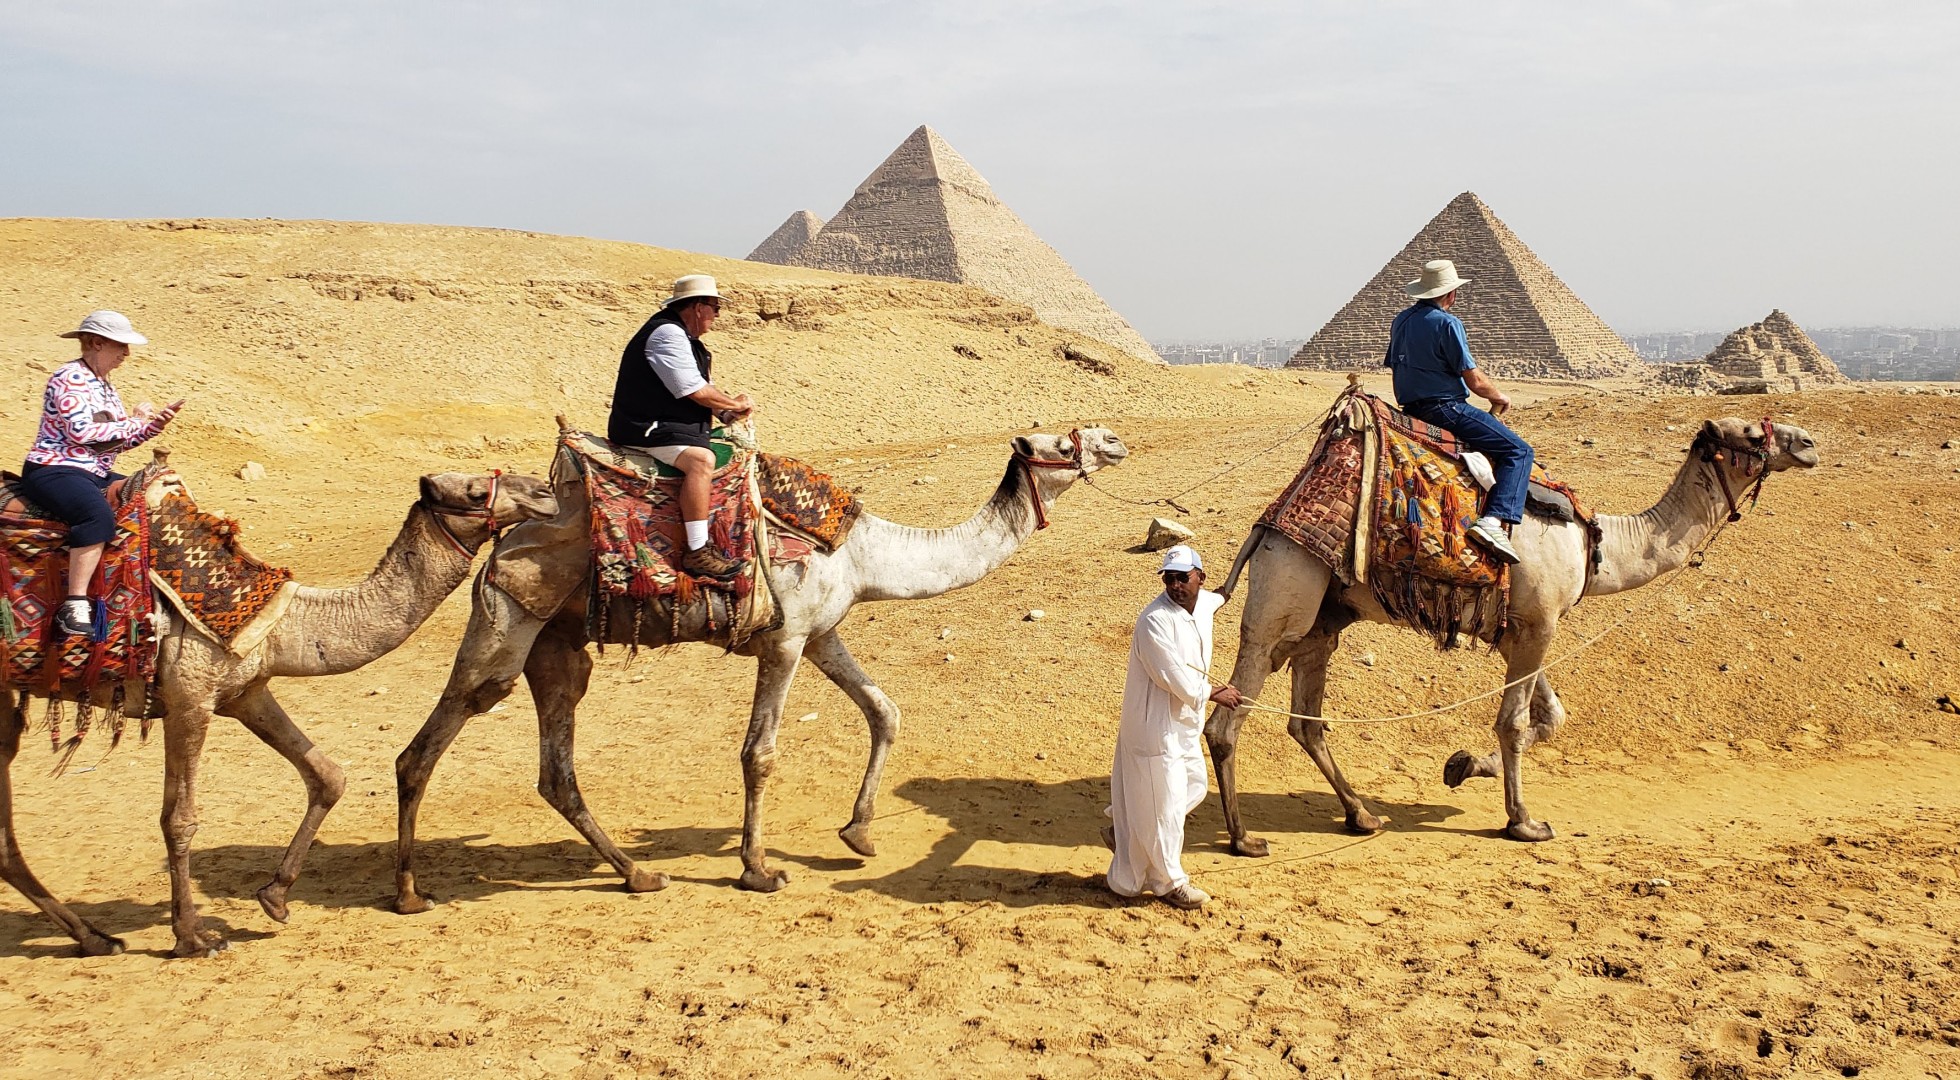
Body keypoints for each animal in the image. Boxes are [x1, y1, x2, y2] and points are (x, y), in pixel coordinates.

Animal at [0, 467, 557, 957]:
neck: (286, 620)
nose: (545, 491)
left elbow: (327, 776)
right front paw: (193, 938)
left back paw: (96, 938)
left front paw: (275, 896)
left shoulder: (245, 691)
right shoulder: (189, 697)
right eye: (475, 490)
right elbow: (179, 819)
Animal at [390, 427, 1128, 910]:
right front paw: (758, 869)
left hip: (557, 646)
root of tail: (502, 543)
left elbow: (884, 709)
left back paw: (637, 874)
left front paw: (859, 834)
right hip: (505, 620)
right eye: (1063, 445)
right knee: (424, 747)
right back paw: (407, 892)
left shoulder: (822, 632)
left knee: (556, 768)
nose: (1114, 440)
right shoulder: (786, 639)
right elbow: (760, 753)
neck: (867, 553)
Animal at [1206, 416, 1818, 852]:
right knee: (1227, 719)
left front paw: (1461, 767)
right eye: (1752, 433)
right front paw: (1523, 820)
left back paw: (1362, 815)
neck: (1597, 546)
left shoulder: (1523, 629)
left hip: (1322, 618)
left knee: (1306, 720)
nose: (1809, 443)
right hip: (1283, 597)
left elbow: (1550, 716)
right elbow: (1515, 723)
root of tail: (1267, 526)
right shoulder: (1539, 624)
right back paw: (1243, 839)